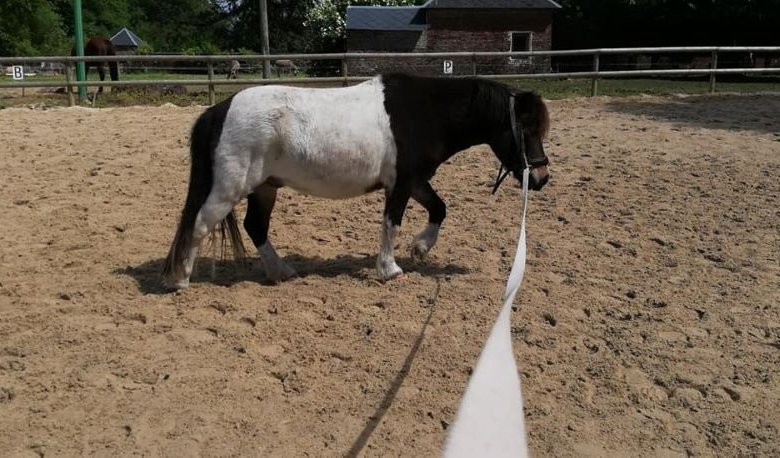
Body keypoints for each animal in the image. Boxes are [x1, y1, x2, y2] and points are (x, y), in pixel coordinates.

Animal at [162, 74, 552, 290]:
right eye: (526, 129)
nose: (541, 177)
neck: (425, 112)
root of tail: (219, 109)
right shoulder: (401, 184)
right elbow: (391, 224)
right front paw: (390, 269)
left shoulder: (414, 180)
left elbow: (440, 209)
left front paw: (420, 248)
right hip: (231, 186)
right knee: (200, 224)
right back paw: (180, 279)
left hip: (265, 187)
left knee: (254, 226)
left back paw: (281, 271)